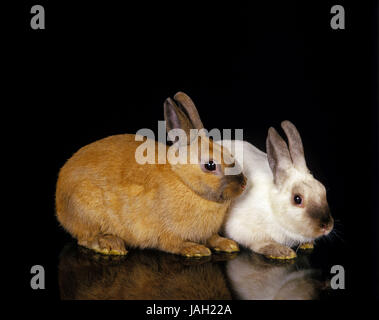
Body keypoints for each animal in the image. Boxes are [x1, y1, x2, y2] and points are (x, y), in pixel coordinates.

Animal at [56, 92, 246, 258]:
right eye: (210, 165)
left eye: (229, 153)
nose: (244, 184)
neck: (184, 182)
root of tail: (59, 198)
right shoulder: (167, 233)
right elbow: (174, 244)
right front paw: (195, 249)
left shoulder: (207, 233)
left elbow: (213, 238)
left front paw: (228, 244)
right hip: (86, 211)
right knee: (85, 238)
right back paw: (110, 245)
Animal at [221, 121, 334, 258]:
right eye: (297, 199)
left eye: (323, 190)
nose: (327, 226)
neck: (272, 207)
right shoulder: (242, 229)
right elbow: (260, 243)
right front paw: (281, 251)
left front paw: (307, 244)